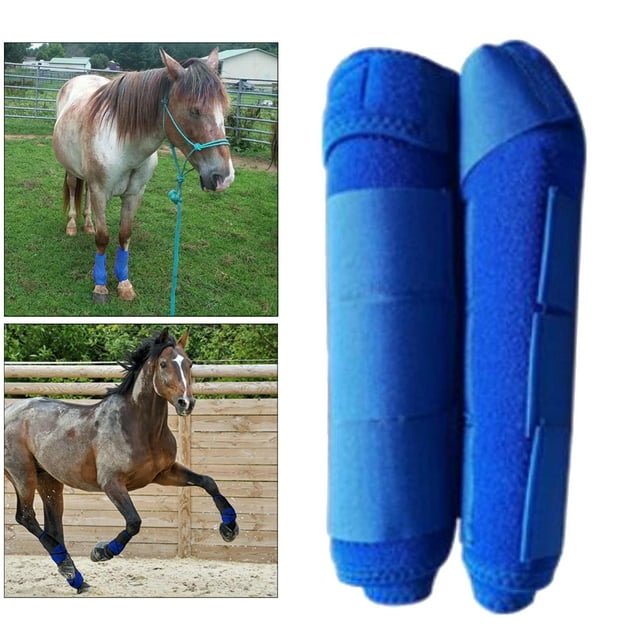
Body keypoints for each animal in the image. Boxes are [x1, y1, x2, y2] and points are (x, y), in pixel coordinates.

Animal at [4, 328, 239, 593]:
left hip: (50, 480)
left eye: (189, 363)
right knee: (25, 517)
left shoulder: (165, 473)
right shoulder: (112, 484)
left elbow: (208, 482)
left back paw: (75, 577)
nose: (186, 403)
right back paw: (70, 570)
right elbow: (134, 521)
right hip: (23, 474)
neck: (139, 428)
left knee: (53, 525)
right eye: (164, 364)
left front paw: (229, 529)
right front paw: (101, 552)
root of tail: (9, 410)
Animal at [52, 49, 234, 304]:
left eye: (224, 110)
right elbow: (103, 237)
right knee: (71, 188)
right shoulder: (100, 192)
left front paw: (124, 283)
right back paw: (71, 226)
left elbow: (124, 235)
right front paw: (100, 286)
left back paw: (87, 225)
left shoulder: (134, 194)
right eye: (194, 110)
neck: (123, 144)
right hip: (71, 170)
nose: (223, 177)